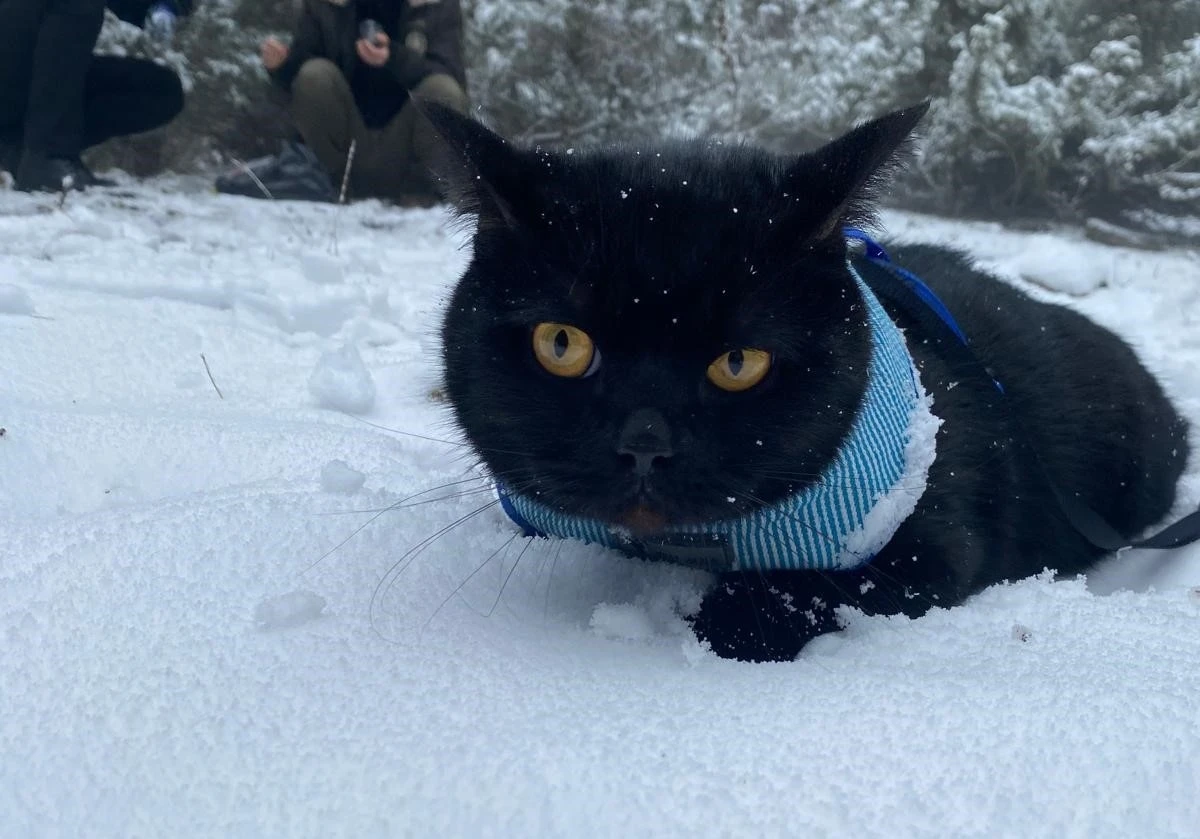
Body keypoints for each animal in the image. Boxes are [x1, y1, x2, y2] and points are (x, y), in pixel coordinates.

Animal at [427, 100, 1185, 662]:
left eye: (740, 362)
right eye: (562, 343)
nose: (644, 444)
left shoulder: (928, 545)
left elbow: (804, 591)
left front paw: (717, 621)